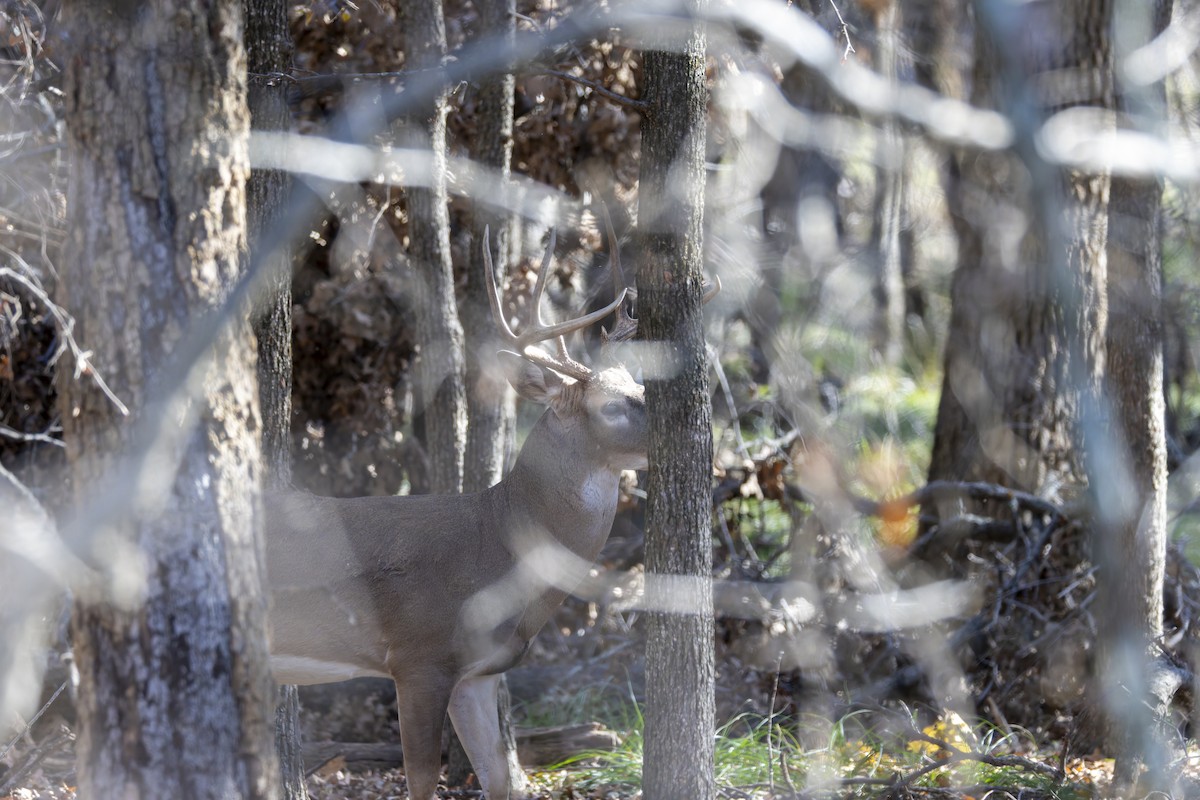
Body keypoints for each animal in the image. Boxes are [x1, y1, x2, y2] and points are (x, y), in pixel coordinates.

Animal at [263, 222, 659, 800]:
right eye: (611, 405)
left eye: (640, 386)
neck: (495, 546)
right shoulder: (418, 657)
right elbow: (422, 781)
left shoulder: (480, 673)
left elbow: (499, 778)